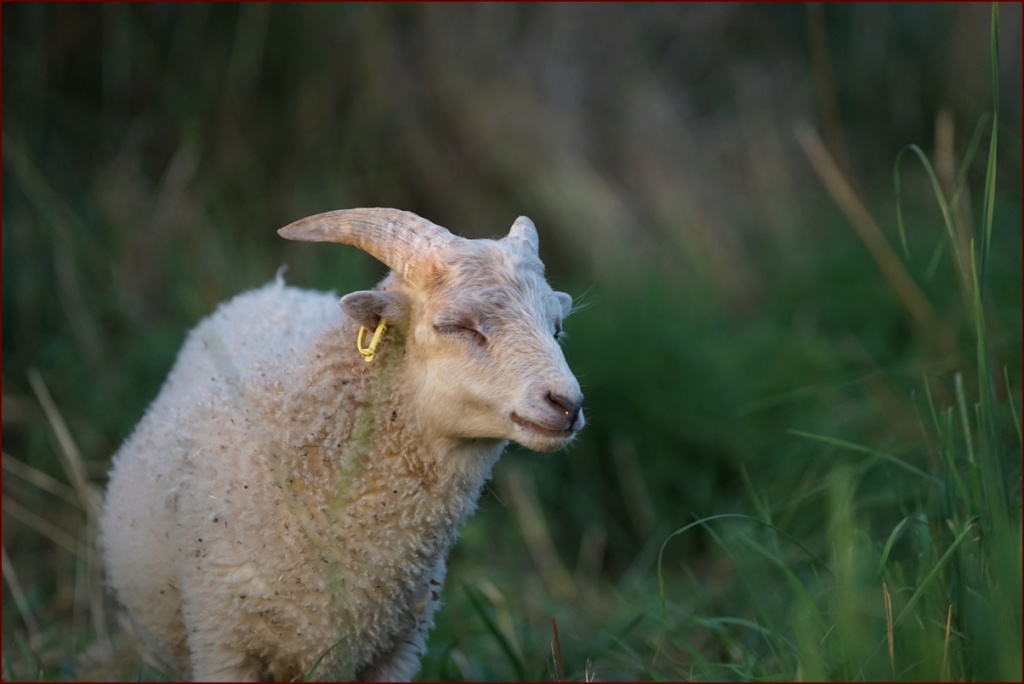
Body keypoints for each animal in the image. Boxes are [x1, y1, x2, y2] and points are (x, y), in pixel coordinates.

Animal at [99, 206, 589, 679]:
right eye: (455, 325)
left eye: (557, 328)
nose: (568, 404)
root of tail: (280, 289)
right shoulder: (223, 644)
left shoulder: (397, 651)